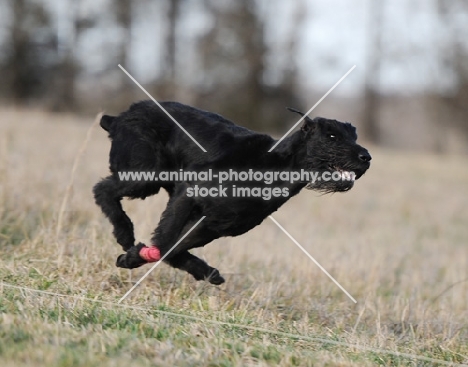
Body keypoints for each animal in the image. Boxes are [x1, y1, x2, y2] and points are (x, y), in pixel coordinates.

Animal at [93, 100, 372, 284]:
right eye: (332, 136)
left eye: (354, 135)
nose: (366, 157)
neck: (275, 166)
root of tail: (120, 117)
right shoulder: (188, 194)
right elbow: (164, 242)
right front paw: (132, 257)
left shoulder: (213, 225)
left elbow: (174, 248)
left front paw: (202, 271)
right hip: (144, 176)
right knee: (103, 190)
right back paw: (124, 233)